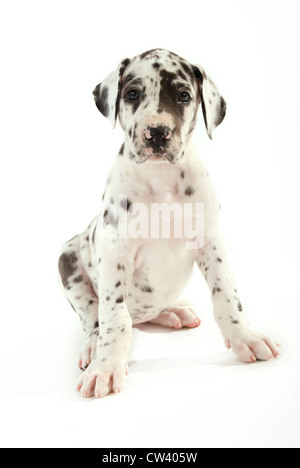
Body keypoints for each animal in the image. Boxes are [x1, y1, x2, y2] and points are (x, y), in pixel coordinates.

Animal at [59, 48, 282, 398]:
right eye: (132, 94)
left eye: (184, 95)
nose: (157, 133)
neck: (160, 176)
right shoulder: (114, 254)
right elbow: (113, 316)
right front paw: (105, 366)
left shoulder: (211, 241)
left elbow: (227, 295)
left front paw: (245, 337)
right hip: (68, 258)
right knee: (95, 318)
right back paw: (93, 348)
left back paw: (172, 312)